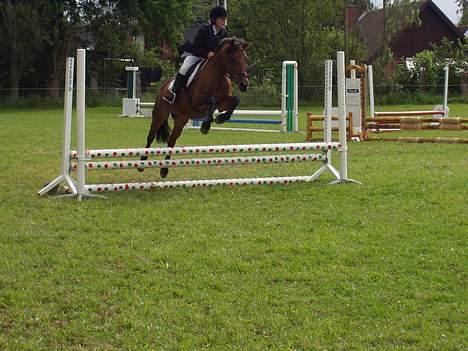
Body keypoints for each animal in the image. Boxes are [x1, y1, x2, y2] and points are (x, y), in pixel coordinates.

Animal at [138, 37, 249, 179]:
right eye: (233, 59)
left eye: (245, 58)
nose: (244, 84)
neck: (218, 74)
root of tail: (163, 85)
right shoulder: (197, 101)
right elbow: (211, 100)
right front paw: (206, 126)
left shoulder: (222, 103)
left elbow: (235, 100)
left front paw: (221, 118)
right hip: (160, 114)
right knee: (150, 137)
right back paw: (142, 164)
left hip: (181, 120)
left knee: (171, 142)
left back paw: (164, 170)